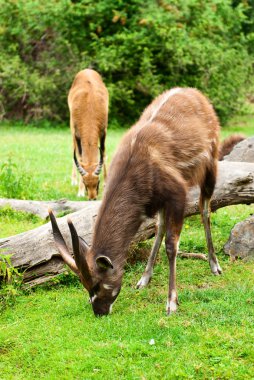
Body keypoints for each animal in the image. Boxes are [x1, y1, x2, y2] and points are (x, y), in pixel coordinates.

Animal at [49, 87, 220, 316]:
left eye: (97, 284)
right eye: (85, 286)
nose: (99, 311)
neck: (136, 167)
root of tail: (196, 94)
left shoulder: (177, 194)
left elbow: (171, 245)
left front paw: (171, 303)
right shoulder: (158, 200)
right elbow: (160, 231)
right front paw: (145, 280)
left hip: (210, 167)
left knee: (205, 209)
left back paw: (214, 265)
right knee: (161, 225)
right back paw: (144, 279)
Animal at [68, 69, 108, 199]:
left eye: (98, 182)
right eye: (85, 183)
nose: (92, 198)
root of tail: (87, 70)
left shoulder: (103, 131)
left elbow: (103, 154)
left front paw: (107, 184)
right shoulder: (77, 134)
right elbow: (80, 159)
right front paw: (80, 191)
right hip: (72, 130)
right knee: (73, 149)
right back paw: (73, 180)